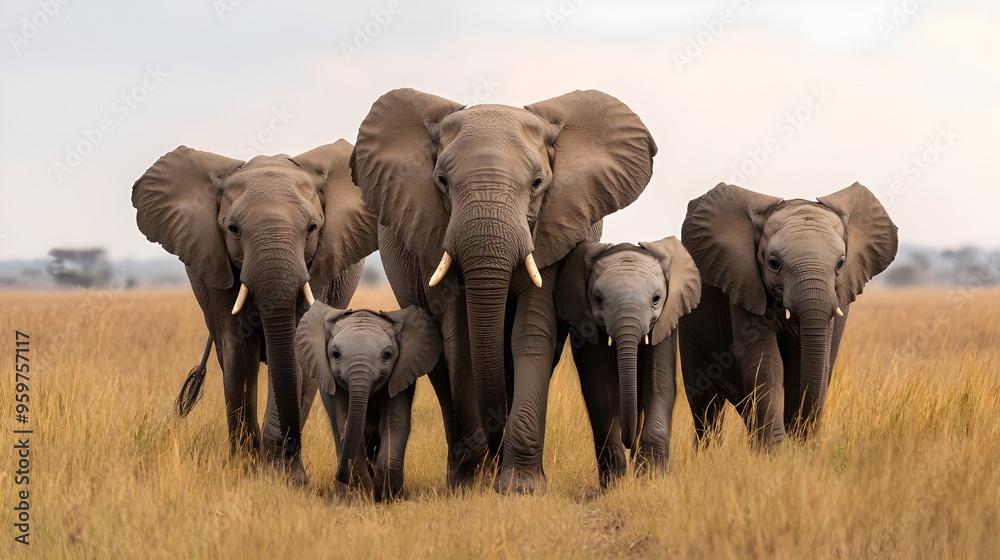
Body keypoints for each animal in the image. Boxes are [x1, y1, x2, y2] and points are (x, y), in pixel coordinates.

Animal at [132, 139, 378, 483]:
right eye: (233, 229)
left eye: (312, 228)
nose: (288, 450)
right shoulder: (216, 264)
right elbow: (238, 353)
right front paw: (246, 471)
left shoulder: (319, 267)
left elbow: (297, 350)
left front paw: (285, 478)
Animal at [295, 302, 442, 500]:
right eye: (335, 354)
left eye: (387, 355)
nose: (340, 476)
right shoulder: (335, 385)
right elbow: (345, 424)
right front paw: (363, 495)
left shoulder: (400, 376)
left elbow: (395, 424)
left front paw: (387, 496)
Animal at [350, 88, 657, 492]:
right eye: (441, 180)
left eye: (537, 183)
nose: (493, 456)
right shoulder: (434, 230)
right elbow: (461, 340)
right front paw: (470, 485)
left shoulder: (553, 228)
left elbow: (530, 334)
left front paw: (520, 488)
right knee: (441, 367)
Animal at [555, 237, 700, 487]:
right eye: (598, 300)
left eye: (656, 299)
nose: (628, 442)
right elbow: (600, 394)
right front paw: (614, 483)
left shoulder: (665, 324)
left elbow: (659, 385)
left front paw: (649, 478)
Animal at [678, 182, 898, 446]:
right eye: (774, 263)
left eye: (840, 264)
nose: (802, 439)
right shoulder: (745, 285)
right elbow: (765, 364)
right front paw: (777, 450)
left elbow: (806, 365)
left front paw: (796, 448)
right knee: (706, 403)